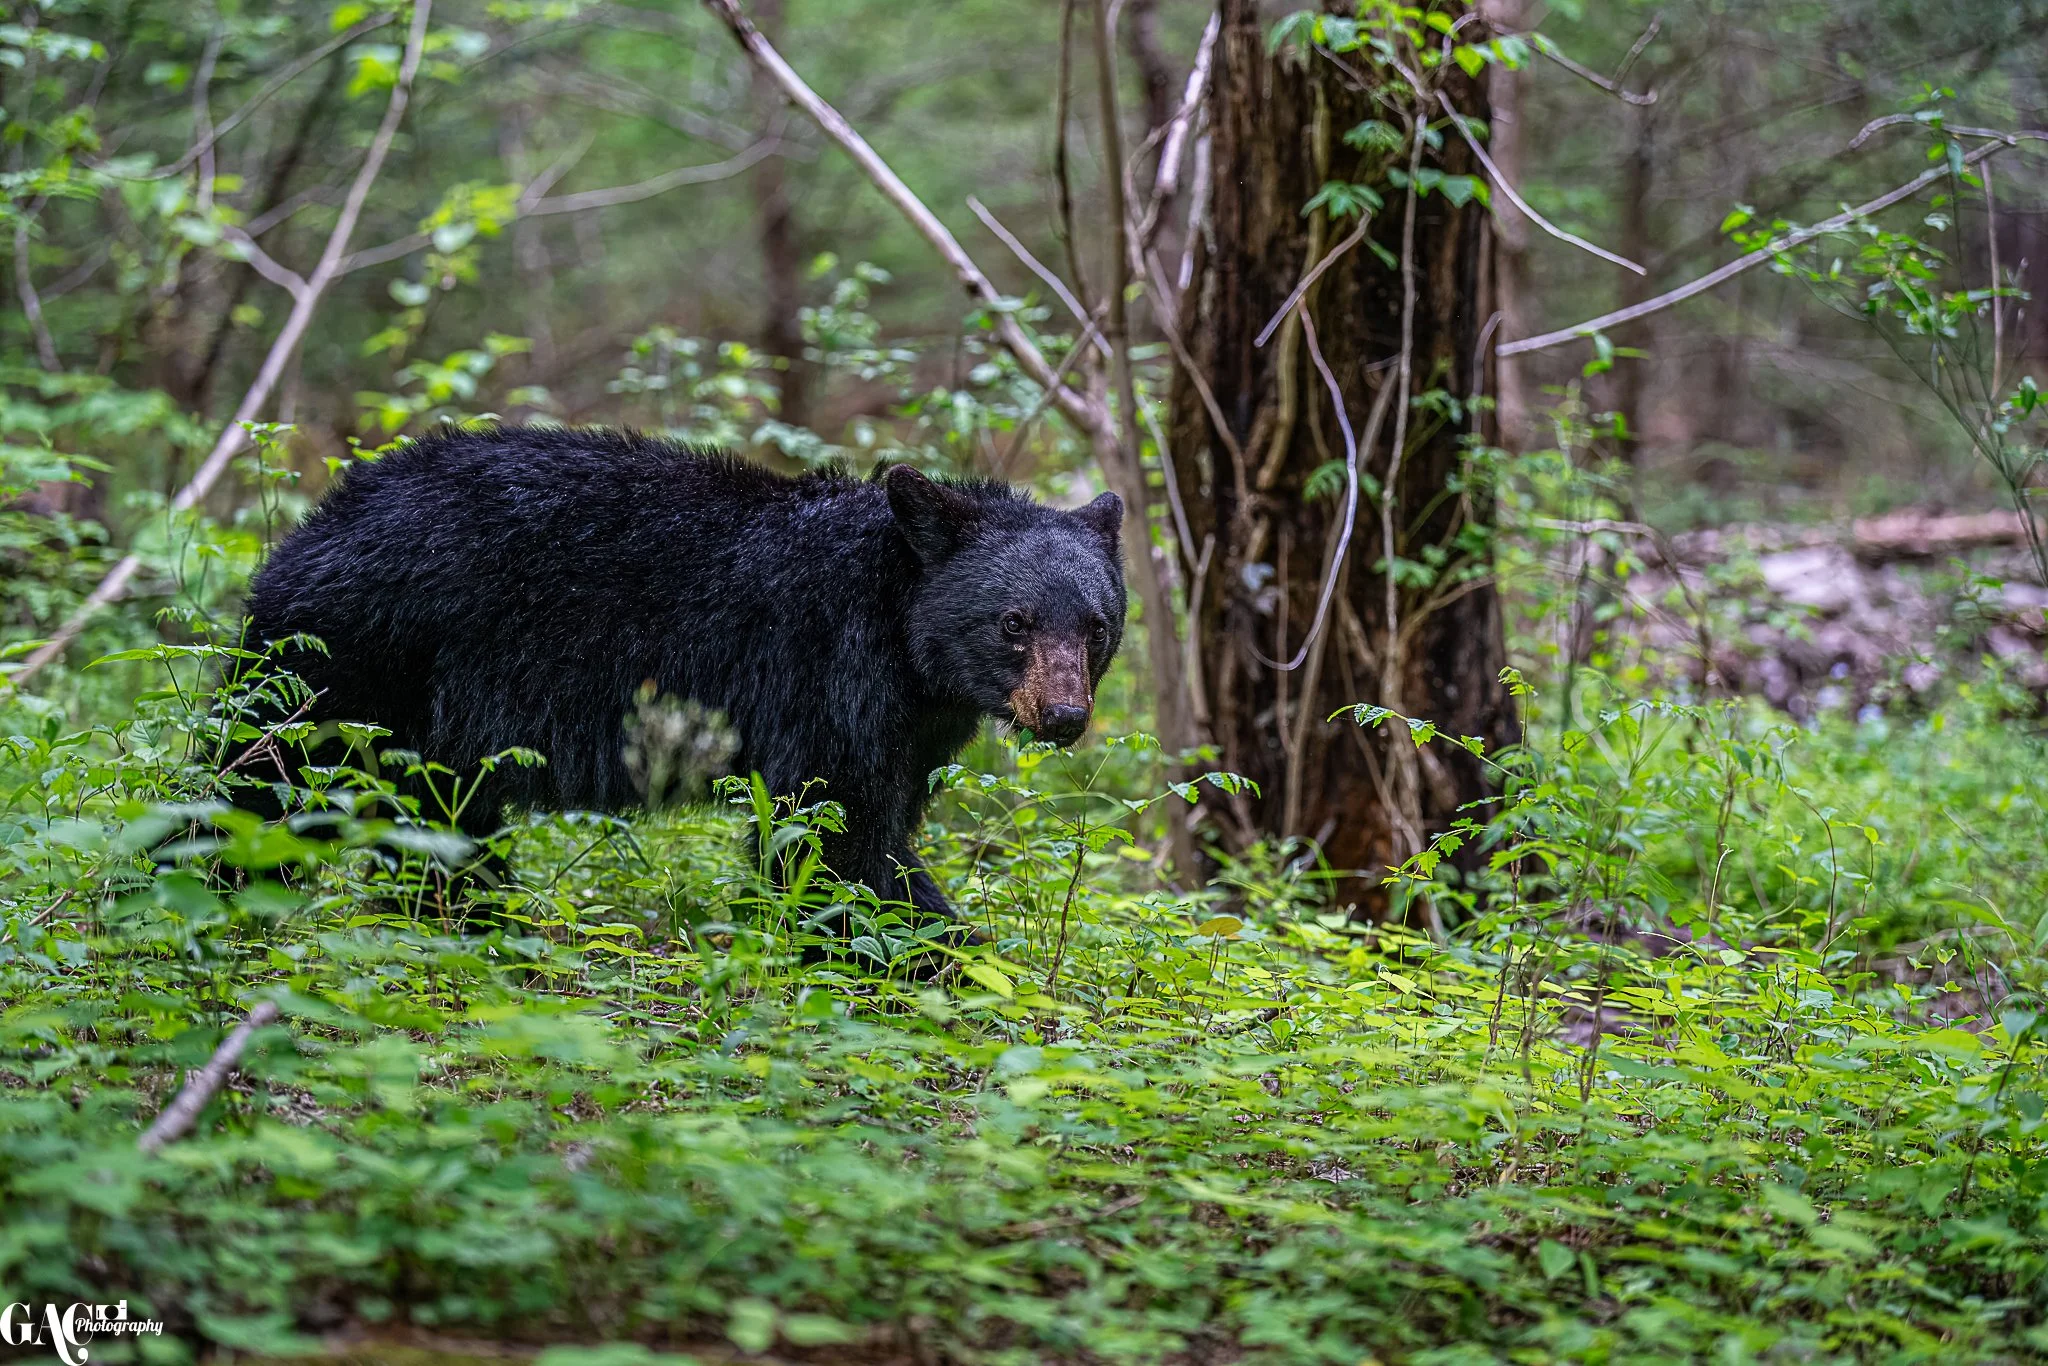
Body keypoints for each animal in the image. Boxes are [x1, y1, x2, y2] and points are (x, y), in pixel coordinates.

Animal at [241, 425, 1127, 926]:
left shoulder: (914, 719)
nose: (1064, 715)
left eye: (1095, 626)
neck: (898, 619)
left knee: (435, 817)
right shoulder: (826, 675)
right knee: (273, 775)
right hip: (353, 657)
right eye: (1013, 623)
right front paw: (935, 955)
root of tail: (315, 524)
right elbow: (834, 831)